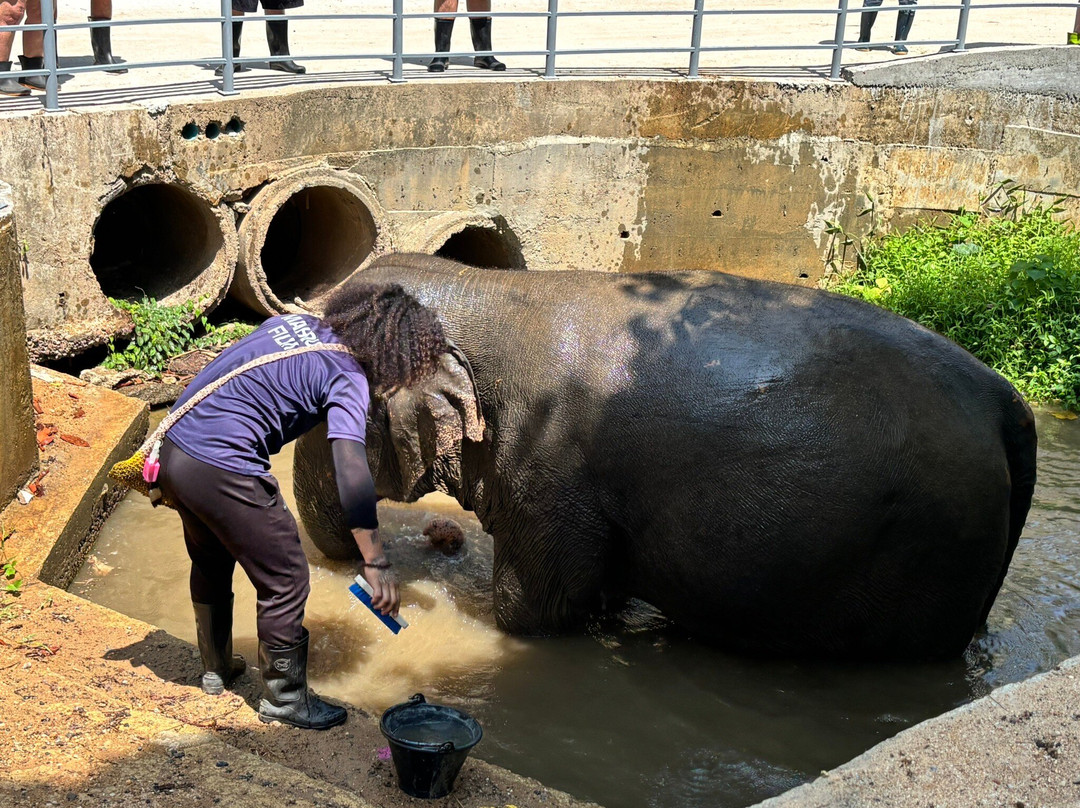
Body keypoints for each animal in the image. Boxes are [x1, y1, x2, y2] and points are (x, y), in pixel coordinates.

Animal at [293, 253, 1037, 661]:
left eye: (320, 414)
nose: (356, 570)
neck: (485, 288)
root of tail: (1007, 402)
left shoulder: (550, 468)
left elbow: (529, 609)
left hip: (929, 548)